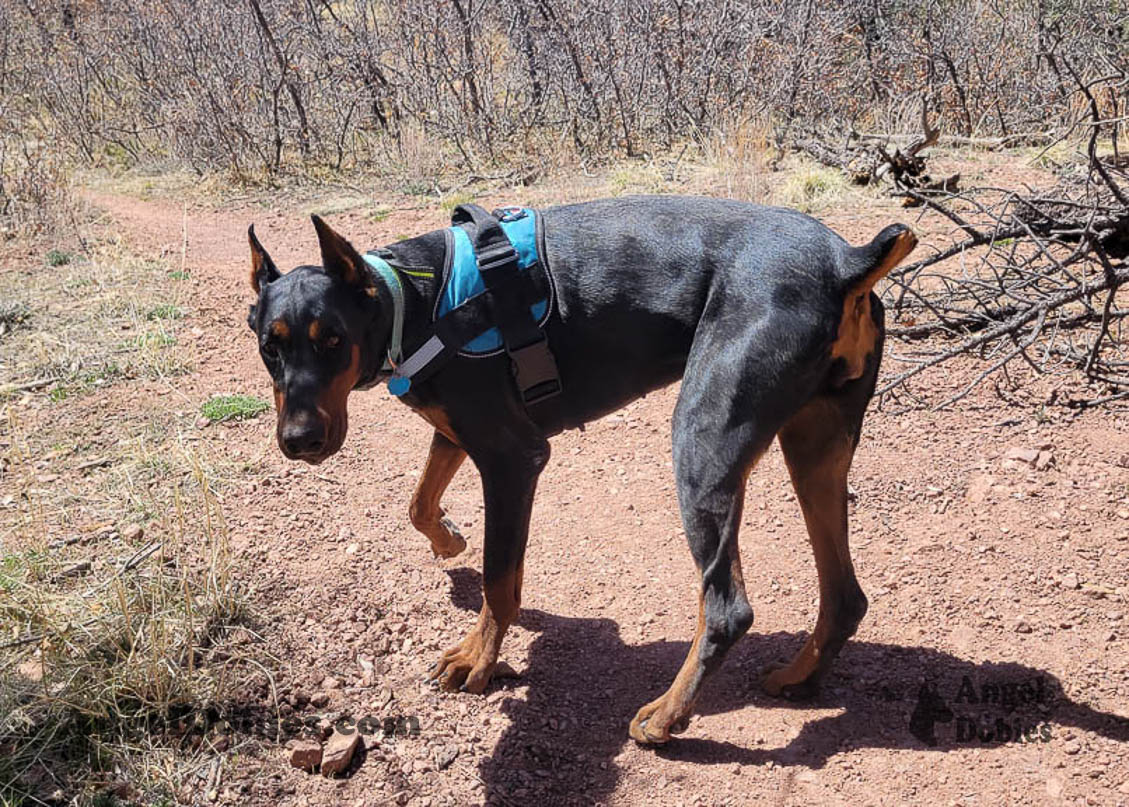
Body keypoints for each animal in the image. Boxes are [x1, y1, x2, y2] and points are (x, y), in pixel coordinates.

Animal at [247, 197, 916, 744]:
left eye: (332, 339)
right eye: (269, 346)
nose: (299, 440)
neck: (410, 302)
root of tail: (845, 261)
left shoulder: (514, 458)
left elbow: (499, 578)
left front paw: (478, 660)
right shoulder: (461, 431)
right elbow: (418, 503)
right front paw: (449, 540)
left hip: (704, 438)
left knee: (729, 609)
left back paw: (666, 716)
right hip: (815, 443)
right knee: (845, 595)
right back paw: (800, 675)